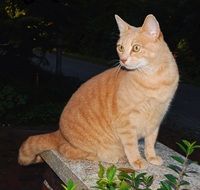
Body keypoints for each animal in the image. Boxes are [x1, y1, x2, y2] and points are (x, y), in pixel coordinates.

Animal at [18, 14, 178, 169]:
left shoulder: (156, 119)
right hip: (90, 147)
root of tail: (59, 133)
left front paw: (151, 157)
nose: (123, 60)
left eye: (136, 48)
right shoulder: (126, 123)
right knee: (69, 151)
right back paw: (114, 157)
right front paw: (137, 161)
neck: (153, 79)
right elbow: (131, 145)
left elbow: (150, 142)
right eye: (120, 47)